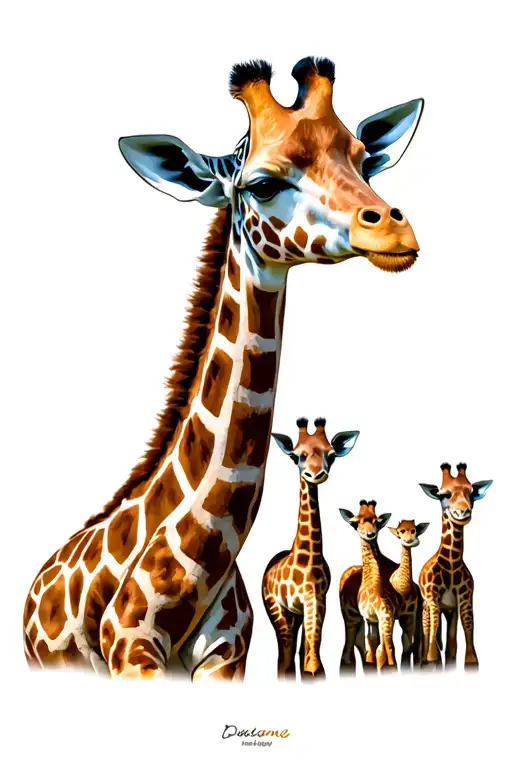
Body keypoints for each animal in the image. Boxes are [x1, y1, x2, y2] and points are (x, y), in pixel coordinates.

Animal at [262, 417, 359, 680]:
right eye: (297, 455)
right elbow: (292, 661)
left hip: (297, 614)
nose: (315, 474)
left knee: (298, 650)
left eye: (331, 454)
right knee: (283, 656)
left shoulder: (316, 600)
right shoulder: (293, 607)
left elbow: (313, 663)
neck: (308, 560)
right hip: (277, 609)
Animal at [340, 501, 399, 671]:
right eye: (356, 522)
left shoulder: (383, 616)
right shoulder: (374, 618)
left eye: (377, 521)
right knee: (352, 647)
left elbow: (382, 649)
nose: (370, 534)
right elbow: (377, 647)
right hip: (350, 616)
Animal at [388, 519, 429, 669]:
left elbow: (407, 645)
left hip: (418, 614)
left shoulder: (409, 615)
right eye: (400, 531)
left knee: (418, 642)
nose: (409, 540)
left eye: (414, 530)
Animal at [418, 463, 492, 669]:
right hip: (426, 604)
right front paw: (431, 658)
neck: (452, 563)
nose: (463, 512)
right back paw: (424, 659)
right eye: (444, 494)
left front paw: (471, 660)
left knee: (451, 640)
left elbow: (468, 624)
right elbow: (434, 623)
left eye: (471, 492)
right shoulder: (432, 599)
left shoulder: (465, 599)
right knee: (427, 626)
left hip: (450, 610)